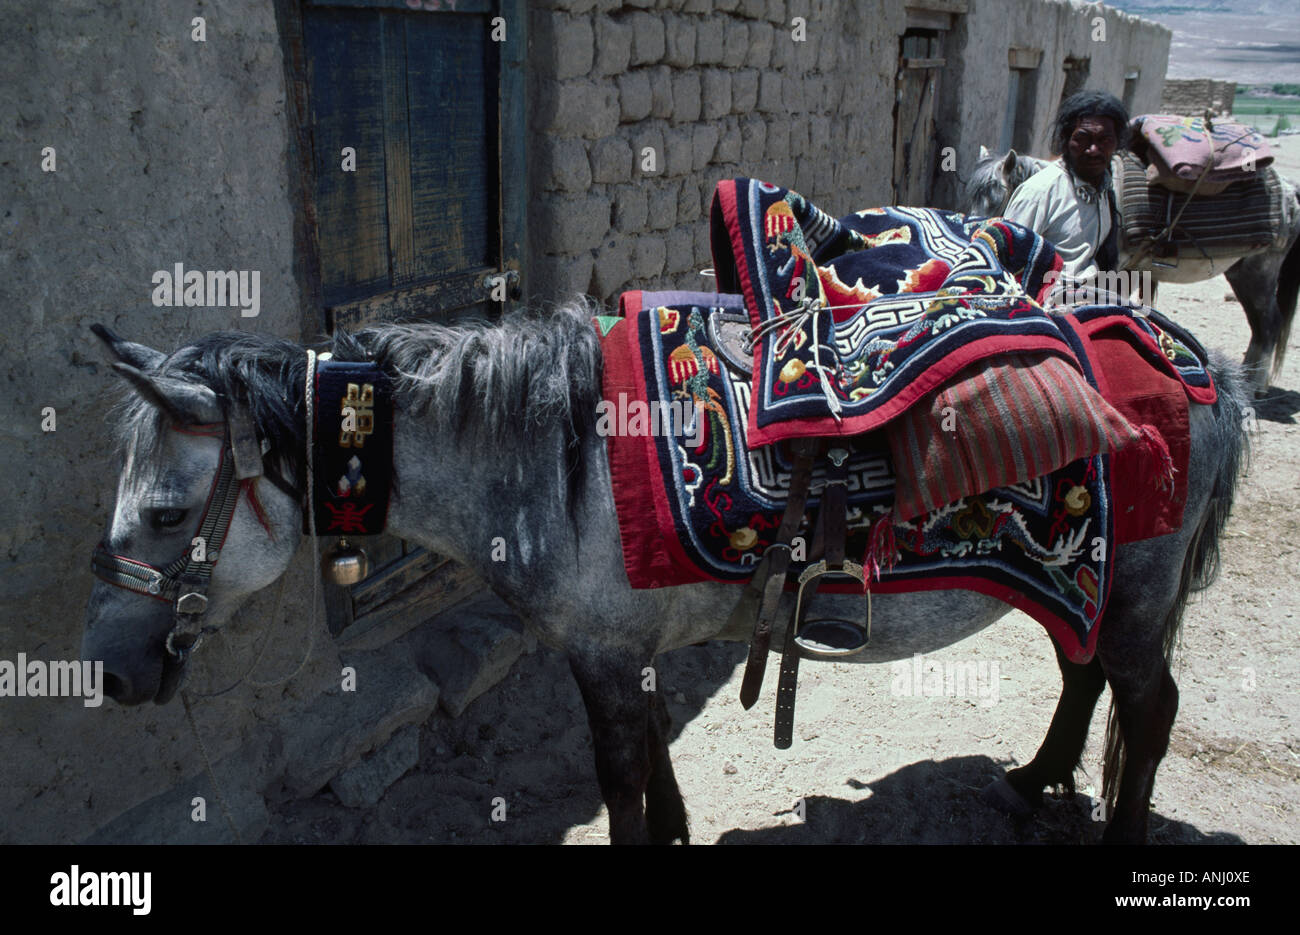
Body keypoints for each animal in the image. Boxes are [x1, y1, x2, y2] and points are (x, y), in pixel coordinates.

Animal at [81, 302, 1248, 842]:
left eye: (167, 513)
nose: (112, 672)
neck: (555, 461)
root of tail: (1195, 360)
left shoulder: (600, 655)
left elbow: (621, 775)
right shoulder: (628, 649)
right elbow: (653, 759)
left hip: (1134, 591)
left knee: (1145, 707)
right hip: (1083, 577)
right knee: (1082, 671)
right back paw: (1036, 775)